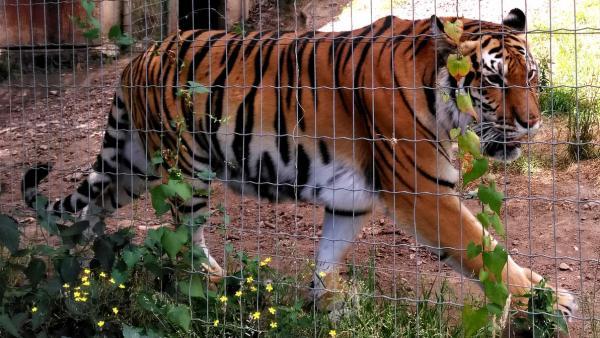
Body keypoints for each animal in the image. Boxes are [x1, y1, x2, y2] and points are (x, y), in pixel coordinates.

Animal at [23, 7, 576, 318]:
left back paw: (86, 269)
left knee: (92, 209)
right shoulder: (422, 191)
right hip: (184, 170)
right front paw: (547, 301)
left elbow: (328, 254)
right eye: (494, 80)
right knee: (185, 238)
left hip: (134, 166)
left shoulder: (353, 199)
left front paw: (327, 303)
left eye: (533, 77)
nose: (531, 123)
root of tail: (140, 56)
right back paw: (209, 281)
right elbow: (485, 249)